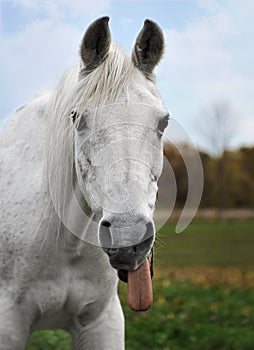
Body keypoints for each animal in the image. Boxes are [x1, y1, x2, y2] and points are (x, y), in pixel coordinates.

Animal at [0, 17, 169, 350]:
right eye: (77, 118)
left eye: (163, 122)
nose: (127, 237)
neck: (66, 242)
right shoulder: (7, 323)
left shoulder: (101, 321)